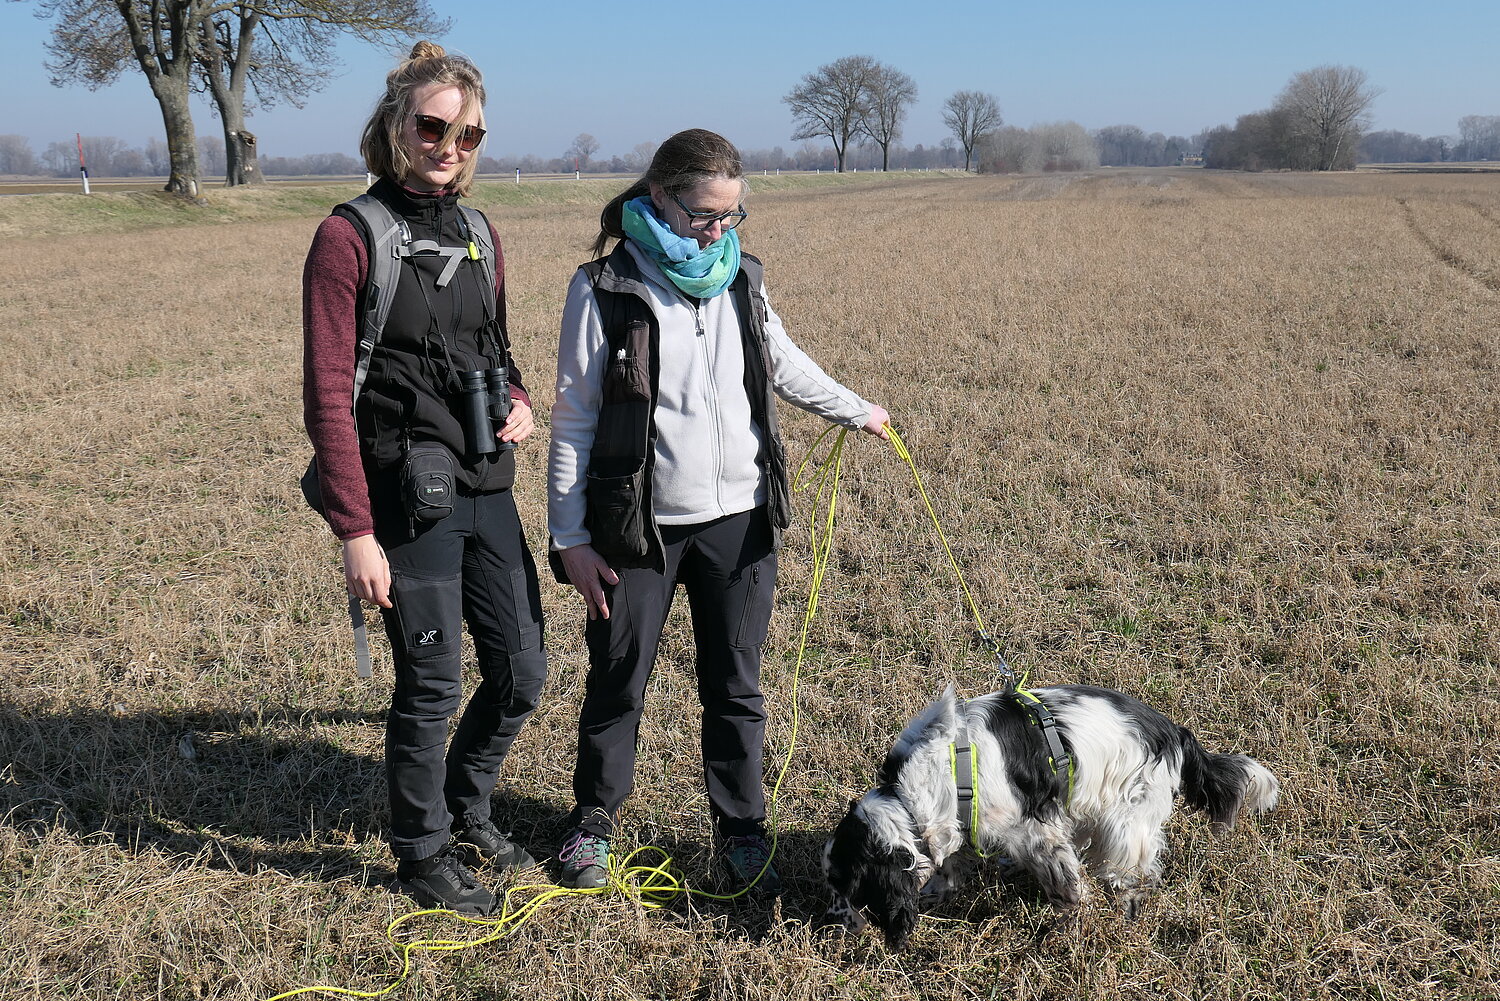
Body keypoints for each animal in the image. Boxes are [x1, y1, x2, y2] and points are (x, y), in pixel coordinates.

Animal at [822, 684, 1278, 954]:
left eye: (847, 886)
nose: (831, 923)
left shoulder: (1035, 831)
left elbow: (1066, 886)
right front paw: (937, 890)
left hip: (1125, 819)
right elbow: (949, 864)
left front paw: (1066, 931)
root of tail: (1176, 732)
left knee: (1133, 872)